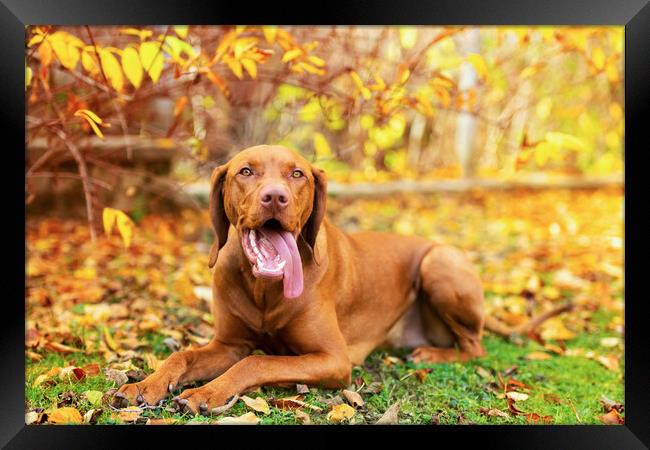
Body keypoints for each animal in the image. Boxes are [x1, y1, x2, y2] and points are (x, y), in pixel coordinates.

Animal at [112, 144, 560, 414]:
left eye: (297, 174)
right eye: (246, 171)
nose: (275, 197)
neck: (264, 288)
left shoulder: (333, 360)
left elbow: (257, 361)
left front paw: (207, 392)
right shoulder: (228, 344)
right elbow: (183, 356)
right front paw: (146, 385)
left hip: (439, 261)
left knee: (475, 347)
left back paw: (433, 355)